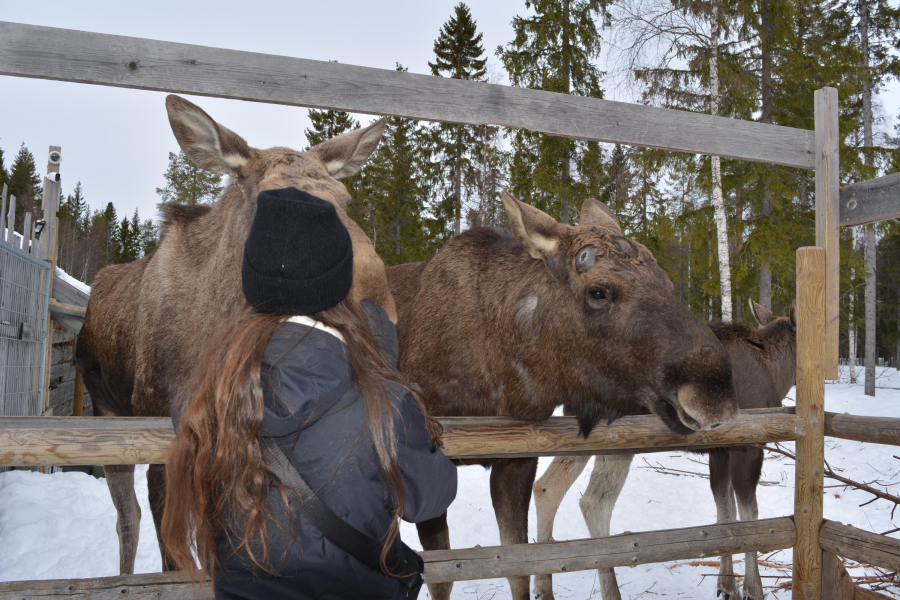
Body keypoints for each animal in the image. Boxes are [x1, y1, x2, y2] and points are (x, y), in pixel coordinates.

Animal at [73, 96, 390, 576]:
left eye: (348, 200)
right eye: (270, 201)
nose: (377, 293)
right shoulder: (161, 444)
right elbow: (175, 564)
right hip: (105, 410)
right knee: (127, 517)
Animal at [384, 192, 740, 600]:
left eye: (667, 282)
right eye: (597, 291)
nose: (714, 391)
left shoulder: (517, 460)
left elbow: (518, 569)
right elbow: (442, 578)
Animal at [532, 302, 800, 600]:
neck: (777, 373)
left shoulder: (719, 450)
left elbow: (725, 515)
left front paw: (726, 586)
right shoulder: (748, 445)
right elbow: (749, 516)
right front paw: (753, 589)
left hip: (579, 434)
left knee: (547, 487)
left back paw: (543, 587)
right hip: (619, 438)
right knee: (594, 502)